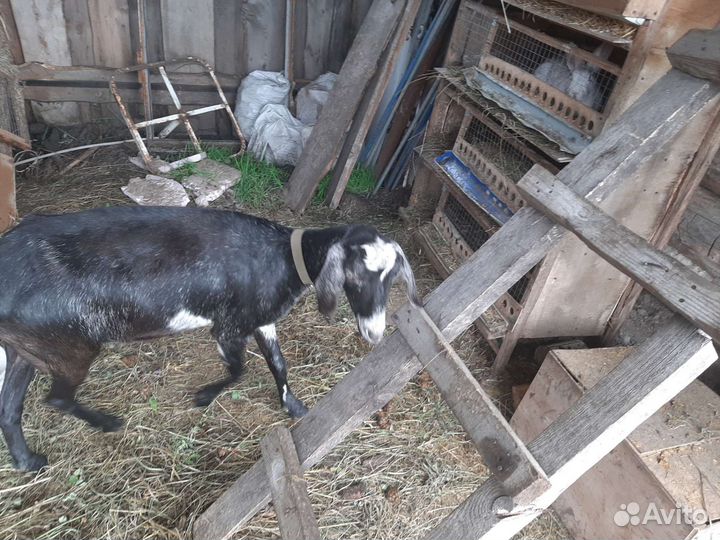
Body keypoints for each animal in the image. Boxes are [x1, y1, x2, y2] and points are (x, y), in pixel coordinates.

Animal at [0, 206, 419, 471]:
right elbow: (240, 370)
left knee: (9, 409)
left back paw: (28, 462)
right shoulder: (229, 326)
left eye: (391, 279)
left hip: (26, 349)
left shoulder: (261, 320)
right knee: (56, 398)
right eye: (358, 276)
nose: (374, 332)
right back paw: (106, 423)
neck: (284, 257)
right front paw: (204, 397)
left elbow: (278, 363)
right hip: (69, 346)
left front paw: (294, 407)